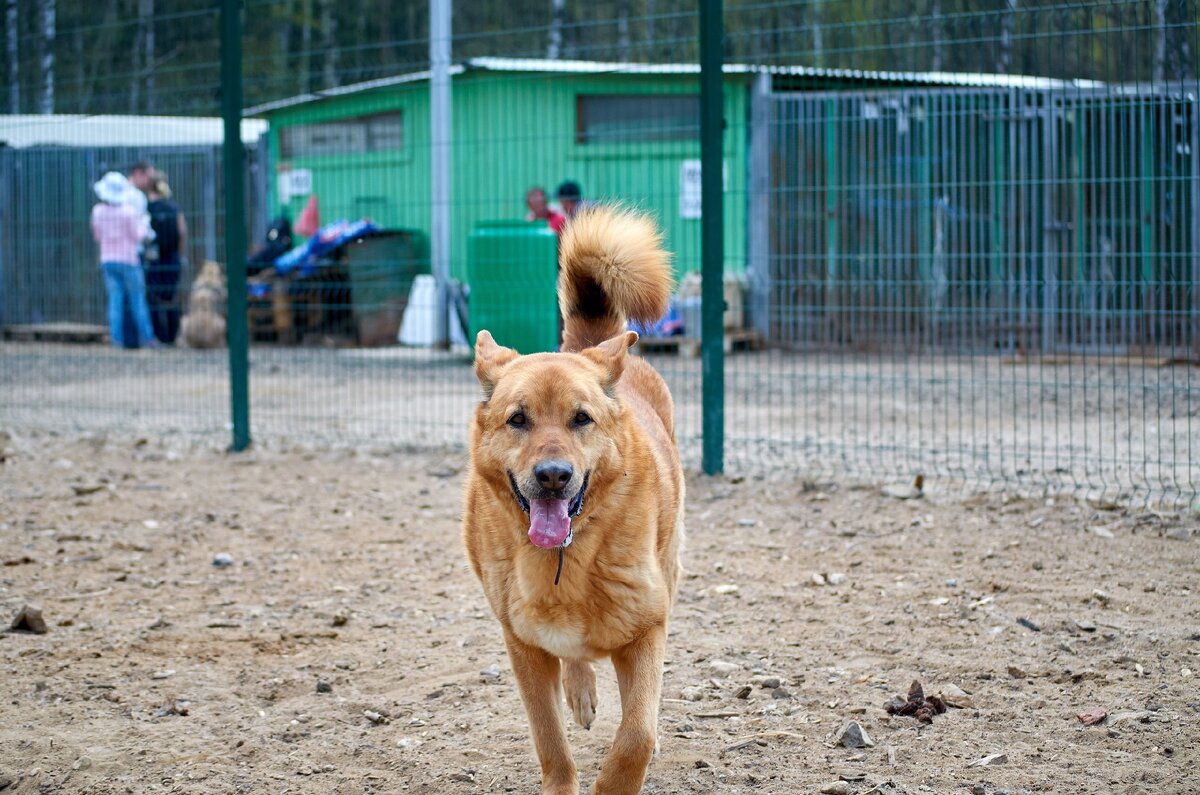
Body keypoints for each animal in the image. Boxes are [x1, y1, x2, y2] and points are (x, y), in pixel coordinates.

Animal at [460, 206, 686, 795]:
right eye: (518, 419)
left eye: (581, 418)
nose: (553, 476)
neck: (566, 559)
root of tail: (590, 345)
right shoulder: (523, 647)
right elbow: (550, 740)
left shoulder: (647, 630)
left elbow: (637, 736)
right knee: (574, 664)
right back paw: (580, 690)